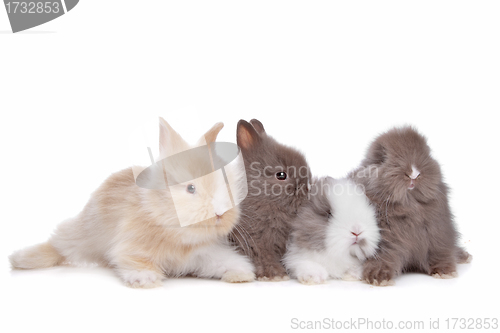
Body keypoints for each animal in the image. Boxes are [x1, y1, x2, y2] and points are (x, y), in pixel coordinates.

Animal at [8, 118, 254, 286]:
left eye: (227, 185)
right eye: (190, 188)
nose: (220, 214)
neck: (177, 237)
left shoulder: (206, 253)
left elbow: (224, 262)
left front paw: (242, 275)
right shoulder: (130, 246)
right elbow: (133, 260)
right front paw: (146, 279)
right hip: (80, 233)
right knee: (58, 244)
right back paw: (20, 259)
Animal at [350, 125, 470, 286]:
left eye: (427, 152)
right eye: (383, 158)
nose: (414, 173)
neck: (409, 205)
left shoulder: (438, 233)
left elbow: (440, 252)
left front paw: (445, 272)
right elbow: (381, 257)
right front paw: (378, 278)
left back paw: (464, 256)